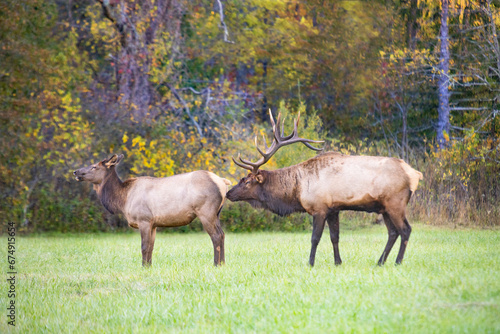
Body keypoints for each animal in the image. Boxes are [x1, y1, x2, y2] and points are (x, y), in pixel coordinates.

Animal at [74, 155, 230, 268]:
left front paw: (143, 267)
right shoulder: (153, 224)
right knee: (222, 234)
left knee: (216, 236)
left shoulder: (144, 219)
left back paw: (216, 264)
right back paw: (223, 263)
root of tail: (223, 182)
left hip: (206, 211)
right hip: (217, 213)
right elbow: (151, 247)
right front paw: (149, 266)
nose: (76, 171)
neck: (123, 200)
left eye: (94, 167)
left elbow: (144, 246)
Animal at [227, 111, 422, 268]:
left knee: (405, 229)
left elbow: (315, 238)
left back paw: (397, 262)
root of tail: (414, 174)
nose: (228, 193)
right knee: (393, 232)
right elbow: (335, 237)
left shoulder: (319, 208)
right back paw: (380, 262)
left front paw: (310, 263)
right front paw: (338, 262)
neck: (297, 191)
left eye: (247, 181)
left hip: (395, 203)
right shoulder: (333, 209)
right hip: (384, 208)